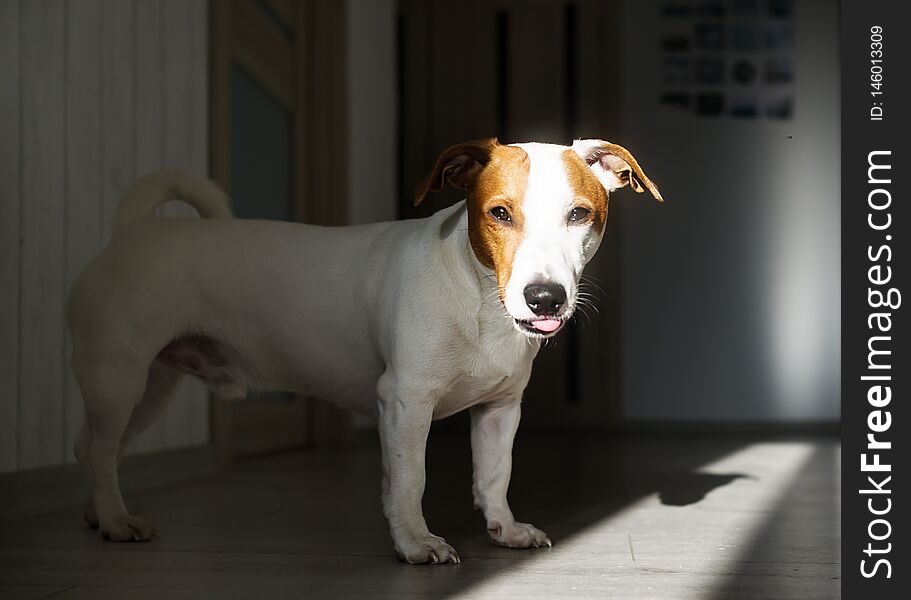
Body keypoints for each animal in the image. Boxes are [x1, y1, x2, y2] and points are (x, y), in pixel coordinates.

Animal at [66, 136, 664, 564]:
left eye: (580, 214)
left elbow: (494, 475)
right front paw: (415, 544)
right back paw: (116, 520)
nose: (545, 297)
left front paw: (503, 528)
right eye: (499, 214)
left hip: (149, 390)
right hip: (119, 376)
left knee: (97, 449)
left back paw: (101, 515)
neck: (478, 300)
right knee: (98, 448)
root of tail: (131, 233)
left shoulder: (500, 409)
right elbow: (409, 481)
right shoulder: (404, 402)